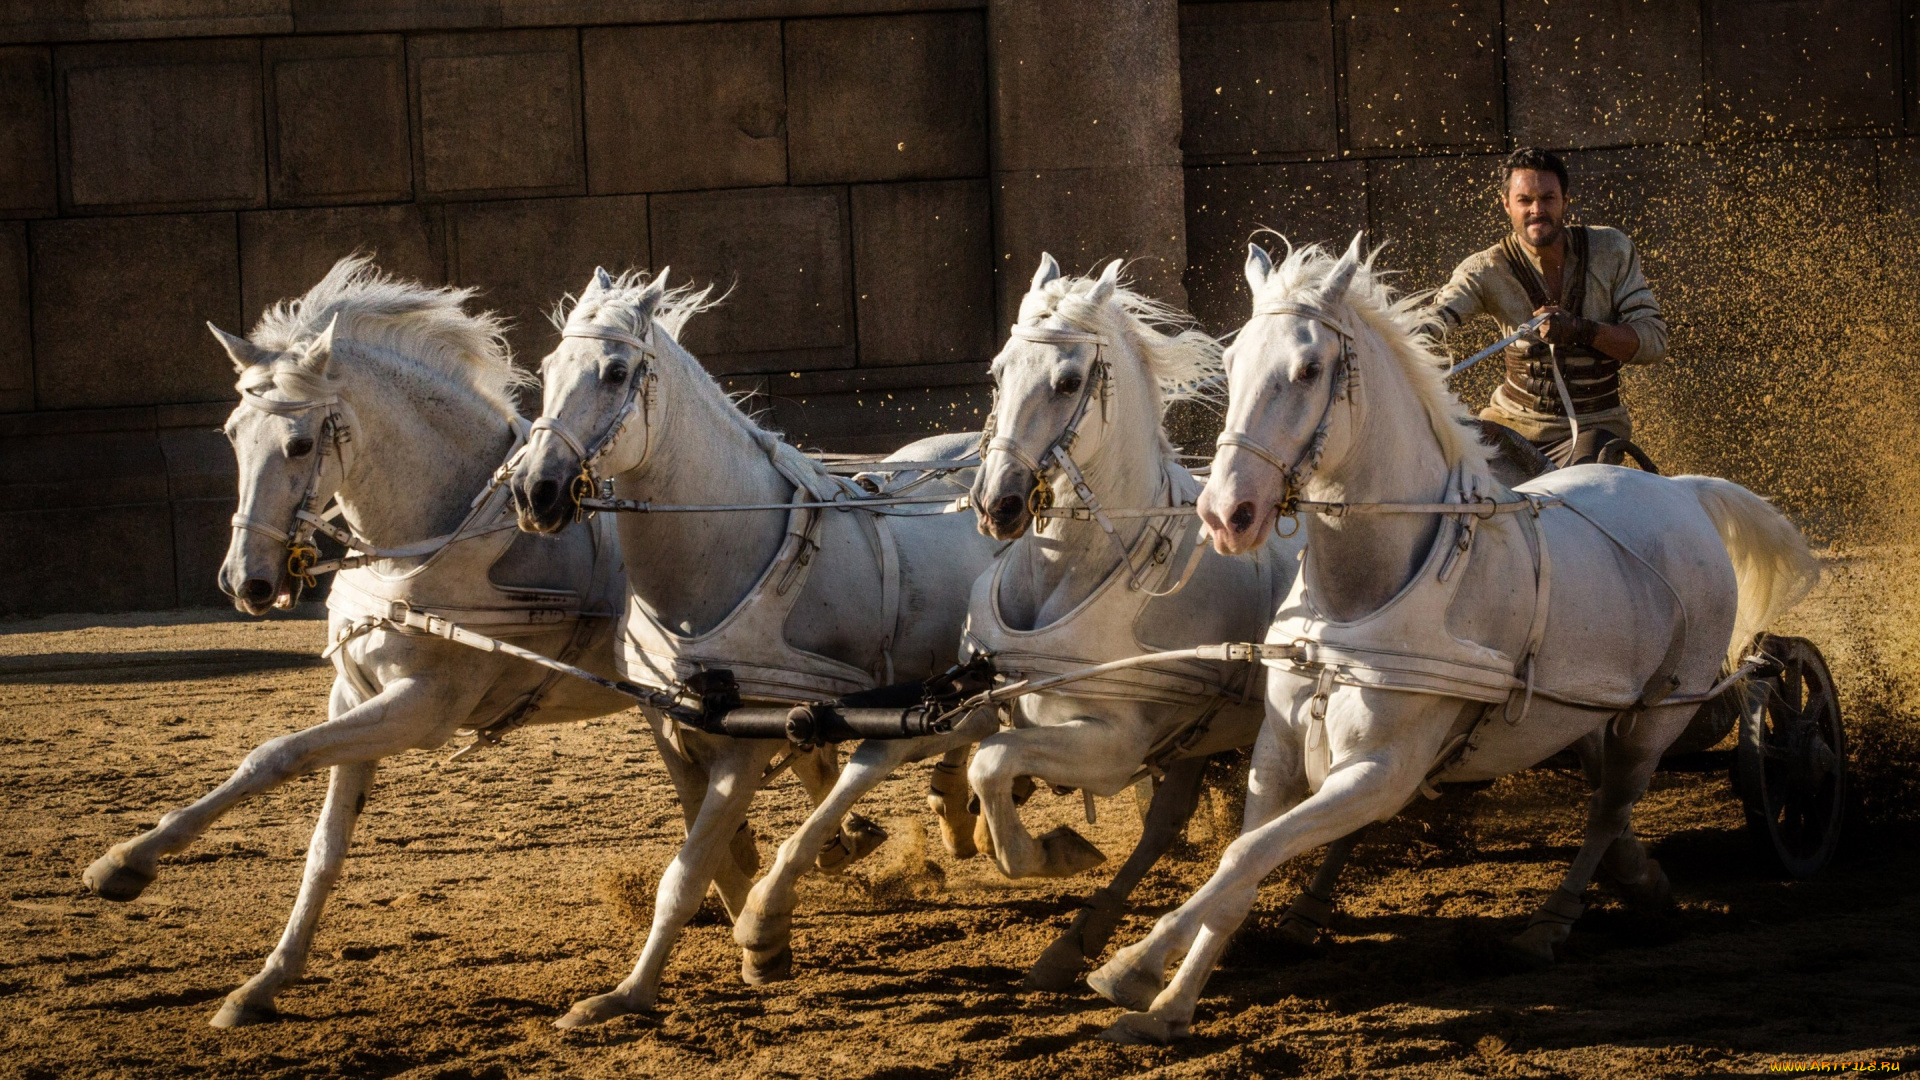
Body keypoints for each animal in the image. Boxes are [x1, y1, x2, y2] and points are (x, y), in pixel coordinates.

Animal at [80, 261, 833, 1022]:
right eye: (233, 433)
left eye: (298, 444)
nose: (247, 581)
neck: (432, 538)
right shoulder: (352, 692)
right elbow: (324, 846)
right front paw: (266, 980)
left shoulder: (423, 707)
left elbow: (274, 755)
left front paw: (127, 862)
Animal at [510, 265, 1006, 1022]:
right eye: (545, 367)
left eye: (617, 371)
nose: (535, 491)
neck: (724, 549)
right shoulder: (670, 725)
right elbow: (711, 857)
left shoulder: (748, 735)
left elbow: (686, 873)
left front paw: (643, 988)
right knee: (949, 731)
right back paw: (946, 811)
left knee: (932, 735)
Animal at [960, 253, 1305, 983]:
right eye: (999, 370)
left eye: (1067, 382)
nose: (997, 504)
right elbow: (966, 755)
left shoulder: (1115, 745)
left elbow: (994, 763)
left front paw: (1051, 851)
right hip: (1197, 742)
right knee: (1166, 824)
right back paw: (1075, 943)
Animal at [1090, 237, 1820, 1045]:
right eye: (1235, 359)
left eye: (1309, 369)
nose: (1226, 513)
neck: (1360, 597)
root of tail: (1684, 491)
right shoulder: (1277, 753)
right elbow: (1237, 867)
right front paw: (1169, 1004)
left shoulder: (1382, 770)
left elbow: (1249, 854)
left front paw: (1131, 964)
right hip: (1588, 713)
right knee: (1604, 795)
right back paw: (1637, 886)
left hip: (1659, 713)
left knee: (1610, 807)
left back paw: (1549, 926)